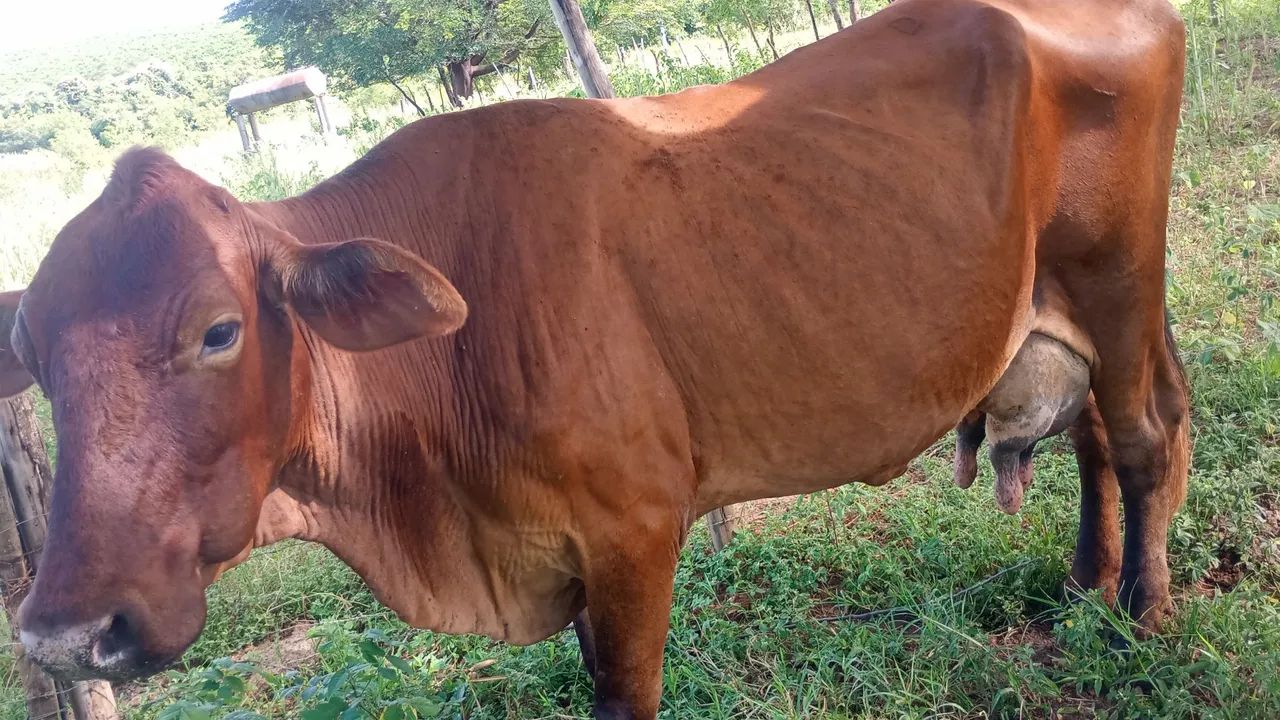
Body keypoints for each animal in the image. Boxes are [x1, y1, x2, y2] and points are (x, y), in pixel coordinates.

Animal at [0, 0, 1189, 717]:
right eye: (36, 357)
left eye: (218, 328)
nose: (66, 635)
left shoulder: (634, 536)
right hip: (1062, 309)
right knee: (1093, 429)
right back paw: (1083, 590)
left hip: (1119, 277)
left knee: (1139, 439)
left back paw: (1142, 621)